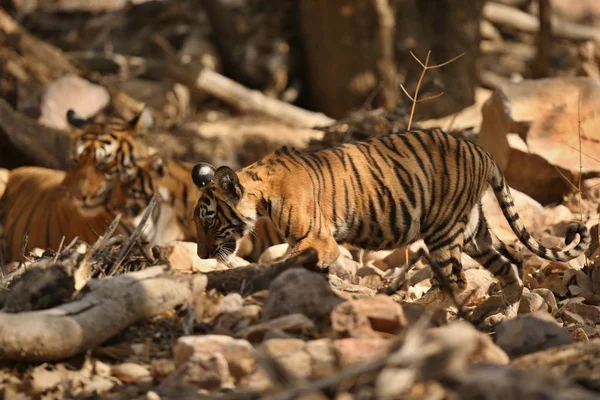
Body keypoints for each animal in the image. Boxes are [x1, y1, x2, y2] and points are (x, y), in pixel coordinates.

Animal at [191, 126, 592, 318]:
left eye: (209, 220)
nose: (201, 254)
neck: (261, 192)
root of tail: (482, 151)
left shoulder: (319, 238)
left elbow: (285, 262)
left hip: (443, 230)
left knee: (456, 280)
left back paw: (420, 311)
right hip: (473, 230)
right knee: (509, 265)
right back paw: (499, 311)